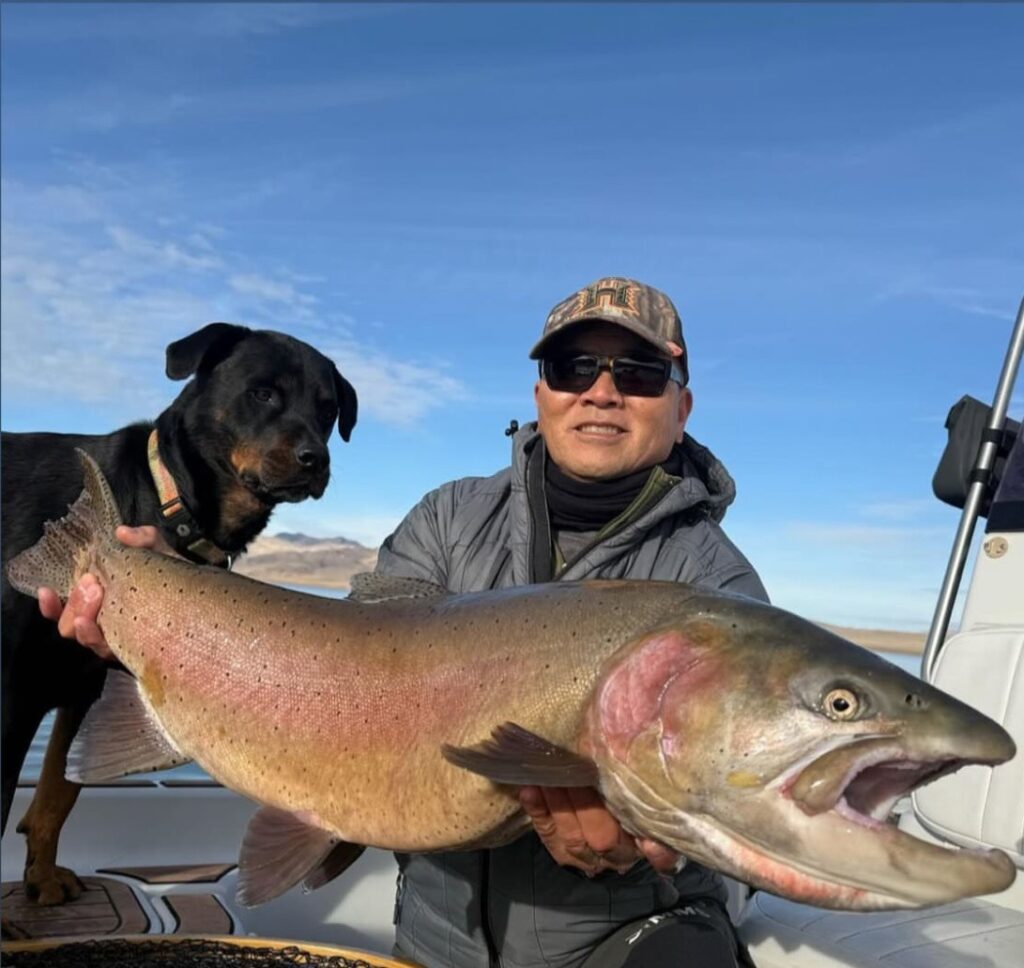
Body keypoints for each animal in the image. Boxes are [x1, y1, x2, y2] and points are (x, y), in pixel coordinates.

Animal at [0, 321, 358, 909]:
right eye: (263, 393)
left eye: (328, 409)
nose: (317, 458)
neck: (165, 497)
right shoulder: (15, 689)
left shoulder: (91, 684)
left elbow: (60, 791)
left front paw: (44, 878)